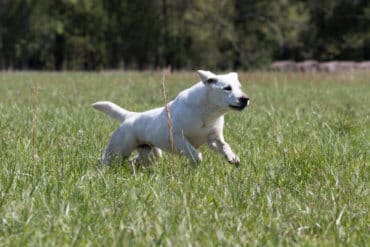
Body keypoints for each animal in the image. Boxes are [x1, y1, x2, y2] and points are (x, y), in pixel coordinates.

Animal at [92, 70, 249, 166]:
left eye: (240, 87)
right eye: (227, 88)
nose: (245, 99)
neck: (206, 112)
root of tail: (130, 116)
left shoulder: (213, 138)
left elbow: (225, 146)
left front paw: (233, 158)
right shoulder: (177, 137)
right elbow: (196, 154)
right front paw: (193, 165)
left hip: (151, 154)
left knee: (134, 161)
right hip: (119, 149)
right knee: (103, 159)